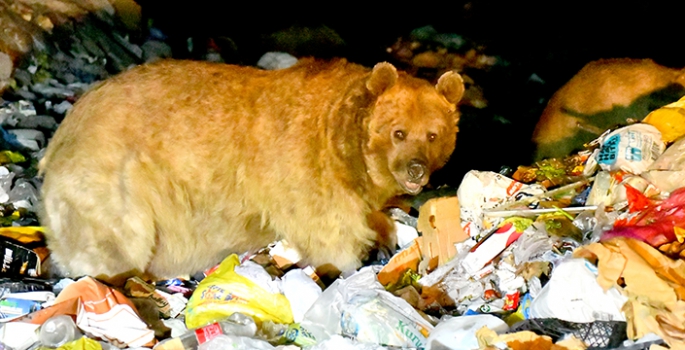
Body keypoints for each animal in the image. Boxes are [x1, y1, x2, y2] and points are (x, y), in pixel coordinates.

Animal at [37, 58, 464, 282]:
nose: (416, 170)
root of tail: (63, 130)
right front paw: (349, 263)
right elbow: (329, 228)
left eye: (433, 134)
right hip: (115, 174)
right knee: (117, 235)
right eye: (398, 132)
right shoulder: (304, 165)